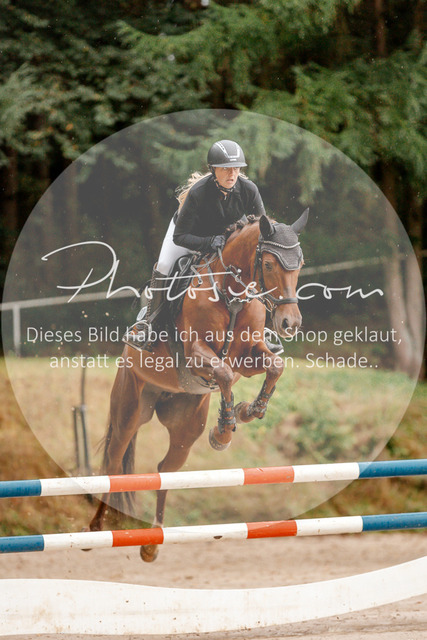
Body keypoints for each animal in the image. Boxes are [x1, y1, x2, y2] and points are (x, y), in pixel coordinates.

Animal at [89, 210, 308, 562]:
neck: (232, 295)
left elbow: (274, 366)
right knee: (113, 463)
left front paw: (247, 411)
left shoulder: (248, 356)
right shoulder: (196, 354)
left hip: (185, 426)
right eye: (269, 264)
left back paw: (152, 543)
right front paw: (224, 431)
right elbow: (224, 375)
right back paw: (97, 527)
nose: (290, 324)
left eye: (300, 263)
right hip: (129, 410)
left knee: (165, 470)